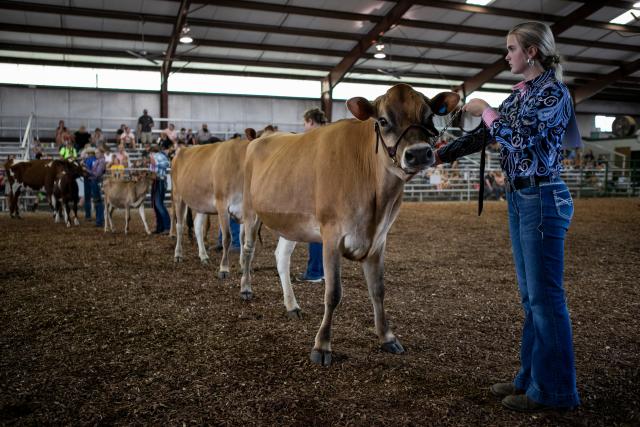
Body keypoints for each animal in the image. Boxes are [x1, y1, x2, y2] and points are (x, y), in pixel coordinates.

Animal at [241, 84, 460, 368]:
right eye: (383, 120)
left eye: (429, 116)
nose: (420, 153)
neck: (377, 201)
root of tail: (263, 135)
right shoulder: (332, 236)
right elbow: (333, 293)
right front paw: (322, 346)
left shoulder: (380, 239)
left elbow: (378, 290)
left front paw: (387, 337)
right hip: (249, 208)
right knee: (247, 250)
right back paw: (245, 289)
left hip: (291, 221)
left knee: (281, 257)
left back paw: (292, 306)